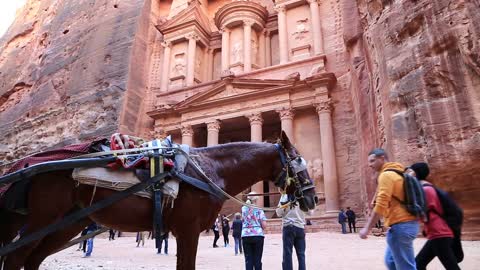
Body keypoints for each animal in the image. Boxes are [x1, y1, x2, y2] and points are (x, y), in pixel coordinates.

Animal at [3, 132, 320, 270]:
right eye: (298, 163)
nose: (313, 198)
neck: (210, 170)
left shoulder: (182, 232)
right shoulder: (189, 230)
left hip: (69, 223)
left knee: (32, 259)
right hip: (44, 218)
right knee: (17, 257)